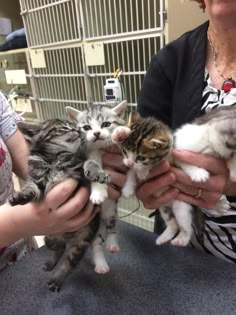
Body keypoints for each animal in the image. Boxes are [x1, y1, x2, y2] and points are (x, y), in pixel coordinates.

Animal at [9, 119, 109, 292]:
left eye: (76, 126)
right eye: (65, 127)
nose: (79, 130)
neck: (56, 157)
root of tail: (66, 238)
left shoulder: (80, 177)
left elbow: (88, 162)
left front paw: (96, 171)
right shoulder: (39, 181)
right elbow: (32, 188)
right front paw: (21, 195)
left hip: (81, 242)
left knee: (68, 263)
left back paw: (57, 279)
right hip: (49, 238)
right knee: (59, 248)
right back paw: (51, 263)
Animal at [66, 101, 127, 274]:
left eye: (106, 124)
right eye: (86, 127)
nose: (97, 133)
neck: (100, 149)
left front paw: (121, 132)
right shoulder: (89, 153)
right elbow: (92, 166)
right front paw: (98, 193)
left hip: (111, 211)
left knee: (112, 226)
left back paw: (112, 243)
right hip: (95, 223)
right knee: (96, 244)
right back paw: (100, 263)